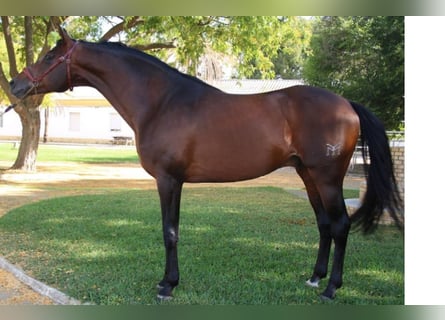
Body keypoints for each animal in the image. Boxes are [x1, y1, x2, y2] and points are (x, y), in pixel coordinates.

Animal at [9, 28, 402, 300]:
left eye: (50, 56)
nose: (14, 85)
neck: (161, 101)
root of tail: (346, 104)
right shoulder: (175, 181)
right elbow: (173, 230)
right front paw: (168, 281)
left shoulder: (168, 180)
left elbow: (169, 232)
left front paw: (167, 286)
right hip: (308, 176)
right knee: (324, 225)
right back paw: (314, 278)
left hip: (328, 178)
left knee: (340, 226)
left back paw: (331, 289)